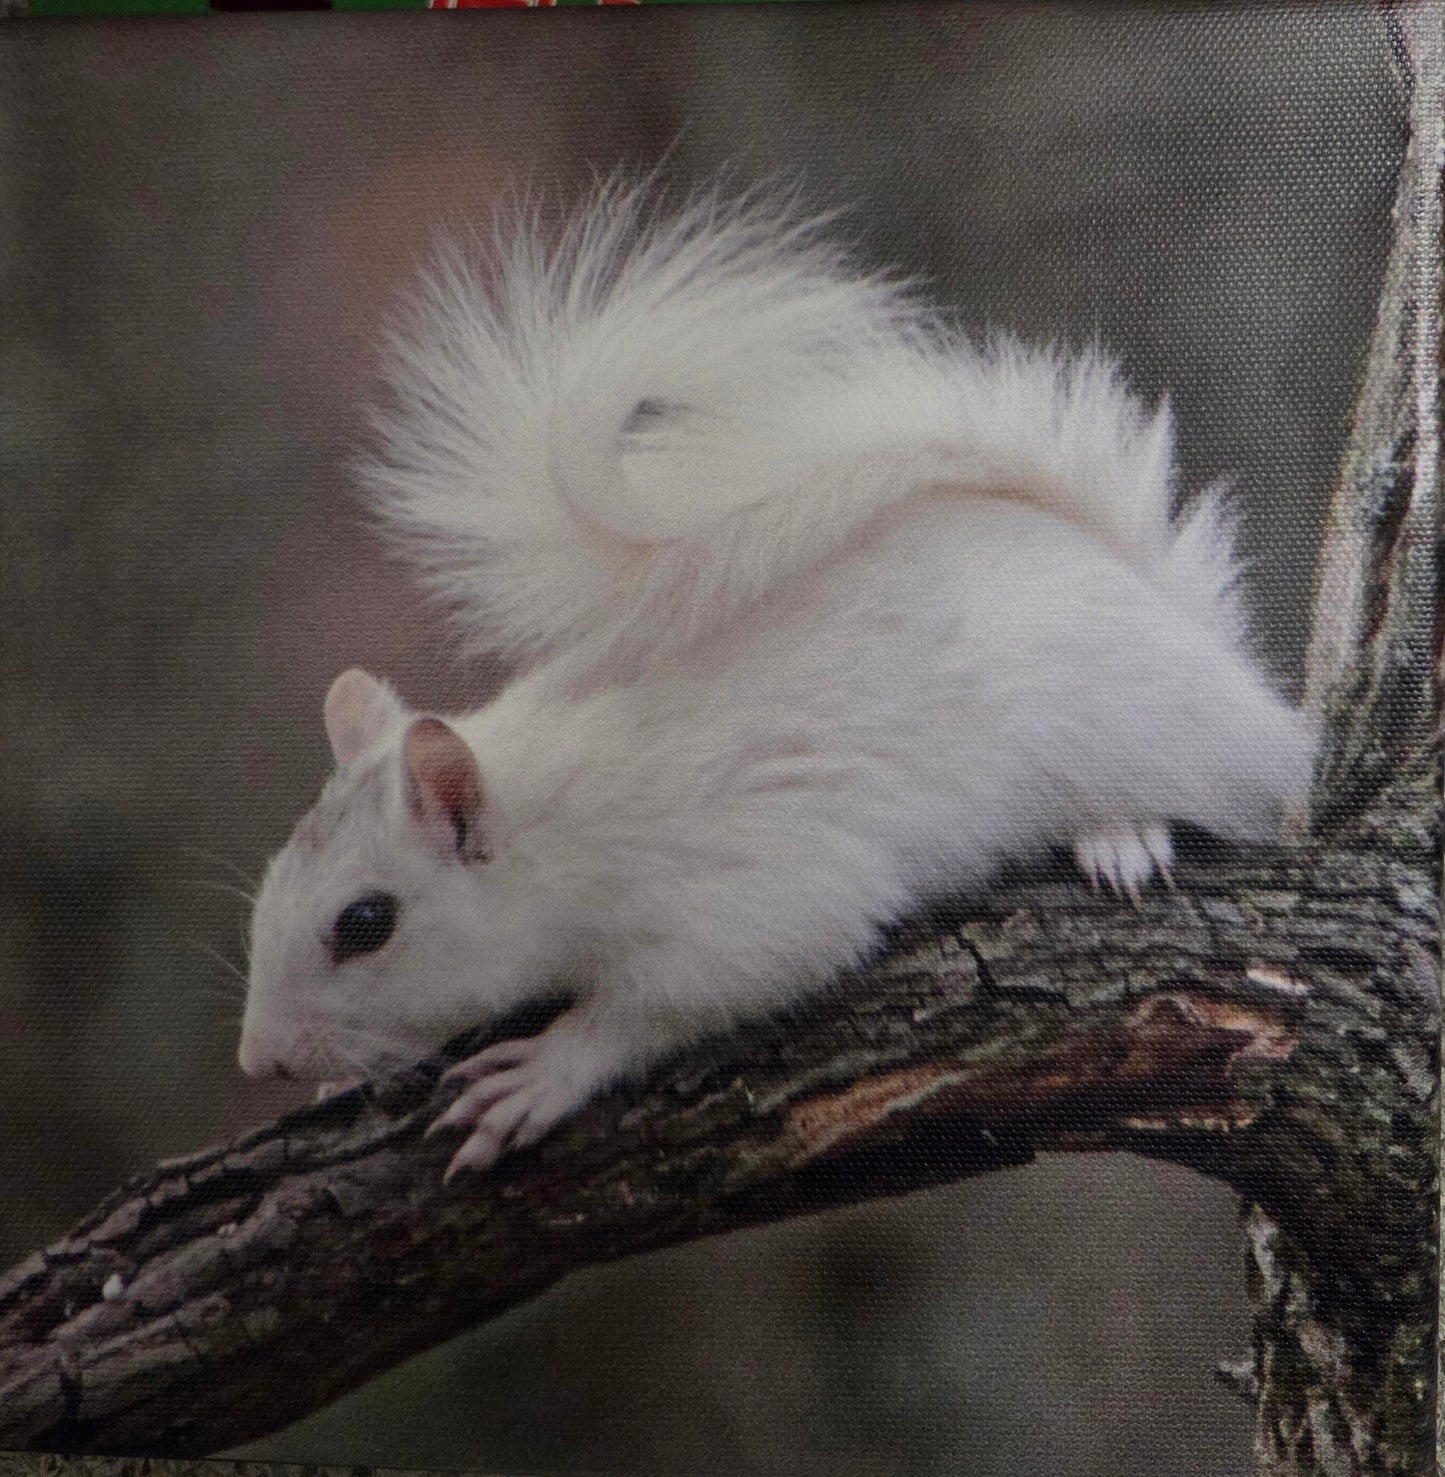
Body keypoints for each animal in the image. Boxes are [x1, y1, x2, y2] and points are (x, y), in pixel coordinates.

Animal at [238, 181, 1316, 1180]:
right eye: (270, 884)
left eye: (365, 924)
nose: (261, 1062)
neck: (563, 820)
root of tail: (1185, 625)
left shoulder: (752, 886)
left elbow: (686, 992)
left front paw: (544, 1070)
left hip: (1142, 723)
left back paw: (1119, 833)